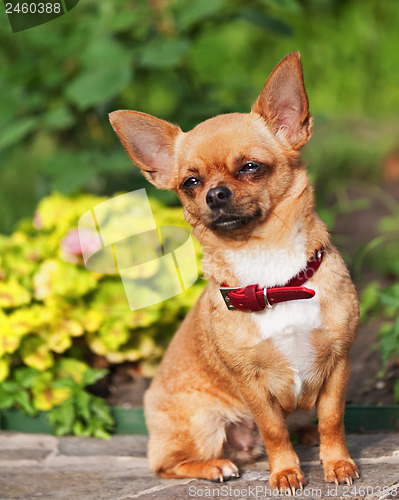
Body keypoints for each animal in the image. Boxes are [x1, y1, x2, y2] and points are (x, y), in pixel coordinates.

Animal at [111, 52, 360, 494]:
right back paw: (214, 467)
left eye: (250, 167)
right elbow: (273, 430)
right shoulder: (252, 385)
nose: (215, 194)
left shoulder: (337, 365)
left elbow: (333, 420)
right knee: (166, 465)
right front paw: (286, 472)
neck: (273, 275)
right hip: (203, 422)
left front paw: (337, 463)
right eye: (191, 182)